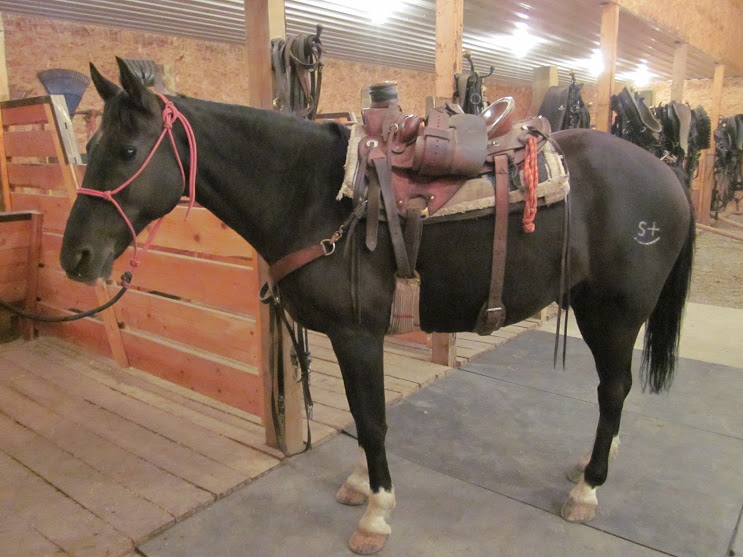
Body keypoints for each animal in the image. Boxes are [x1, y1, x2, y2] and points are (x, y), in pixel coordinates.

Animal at [61, 58, 696, 552]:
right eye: (89, 145)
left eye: (127, 149)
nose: (75, 257)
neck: (313, 195)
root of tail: (666, 174)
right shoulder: (348, 339)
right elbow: (361, 417)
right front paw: (363, 489)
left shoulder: (357, 334)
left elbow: (370, 421)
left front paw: (377, 513)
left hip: (614, 314)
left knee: (613, 390)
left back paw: (588, 487)